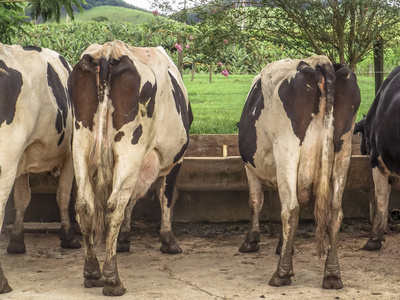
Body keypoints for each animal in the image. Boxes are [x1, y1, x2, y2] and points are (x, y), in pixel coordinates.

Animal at [0, 44, 80, 292]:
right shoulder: (70, 155)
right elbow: (63, 195)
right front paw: (69, 236)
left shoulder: (22, 161)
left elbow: (22, 198)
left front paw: (16, 241)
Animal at [68, 39, 193, 296]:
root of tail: (109, 50)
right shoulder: (174, 160)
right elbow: (165, 197)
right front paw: (168, 240)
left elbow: (133, 199)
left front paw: (124, 238)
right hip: (129, 148)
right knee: (114, 205)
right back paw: (112, 279)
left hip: (80, 145)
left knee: (85, 206)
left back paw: (92, 272)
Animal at [238, 55, 360, 288]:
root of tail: (320, 63)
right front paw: (283, 245)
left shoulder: (250, 167)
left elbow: (255, 201)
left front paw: (250, 241)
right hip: (343, 149)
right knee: (335, 211)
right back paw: (332, 275)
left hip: (288, 148)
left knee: (291, 209)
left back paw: (282, 273)